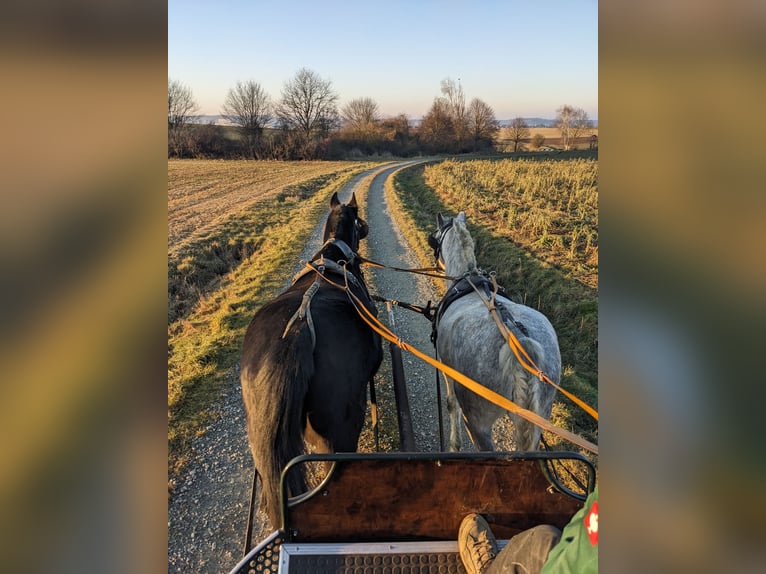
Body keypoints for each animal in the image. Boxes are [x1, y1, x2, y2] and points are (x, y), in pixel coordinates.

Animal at [428, 213, 560, 454]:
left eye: (435, 238)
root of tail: (520, 343)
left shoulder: (445, 367)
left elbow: (452, 405)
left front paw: (454, 446)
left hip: (477, 422)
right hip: (538, 419)